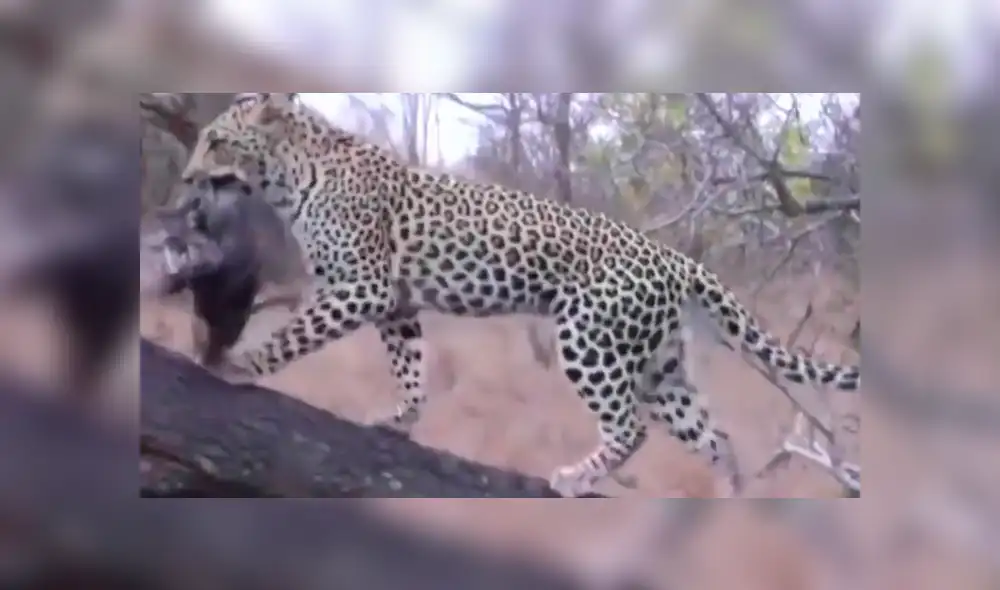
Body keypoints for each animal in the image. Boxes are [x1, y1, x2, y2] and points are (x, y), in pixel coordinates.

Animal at [179, 93, 860, 498]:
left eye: (216, 141)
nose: (187, 177)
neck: (288, 178)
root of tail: (675, 257)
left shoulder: (361, 285)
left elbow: (293, 334)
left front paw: (237, 364)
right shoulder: (395, 302)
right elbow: (411, 368)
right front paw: (400, 419)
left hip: (590, 340)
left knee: (630, 427)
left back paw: (575, 476)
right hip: (662, 368)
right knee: (716, 439)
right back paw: (730, 501)